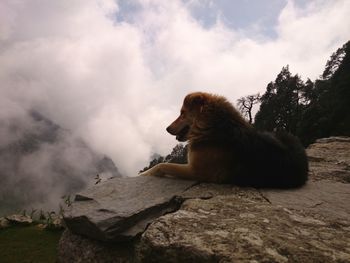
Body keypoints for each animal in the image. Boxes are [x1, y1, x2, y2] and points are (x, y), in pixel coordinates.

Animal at [138, 92, 308, 189]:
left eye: (182, 113)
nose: (166, 128)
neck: (212, 128)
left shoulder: (197, 171)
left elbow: (162, 165)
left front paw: (143, 174)